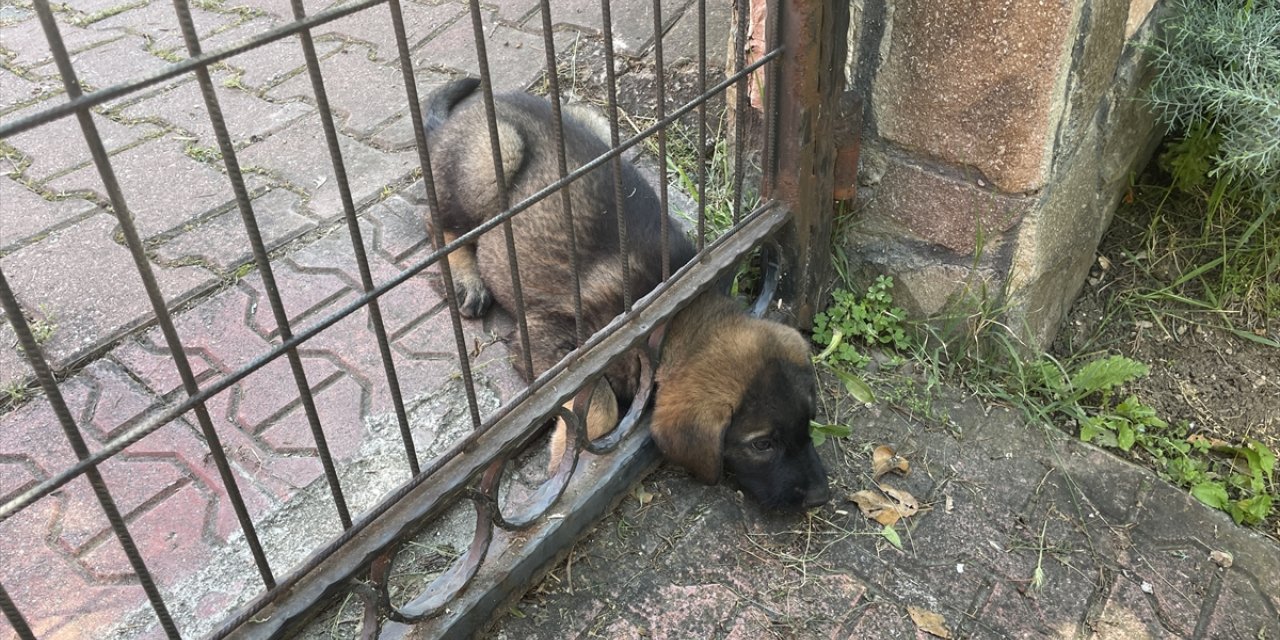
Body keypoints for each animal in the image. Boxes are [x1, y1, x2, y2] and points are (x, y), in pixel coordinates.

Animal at [424, 77, 834, 512]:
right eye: (763, 444)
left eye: (808, 422)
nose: (821, 496)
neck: (676, 317)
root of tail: (468, 111)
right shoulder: (547, 339)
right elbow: (598, 403)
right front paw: (562, 459)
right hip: (494, 157)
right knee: (441, 225)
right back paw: (466, 280)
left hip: (598, 124)